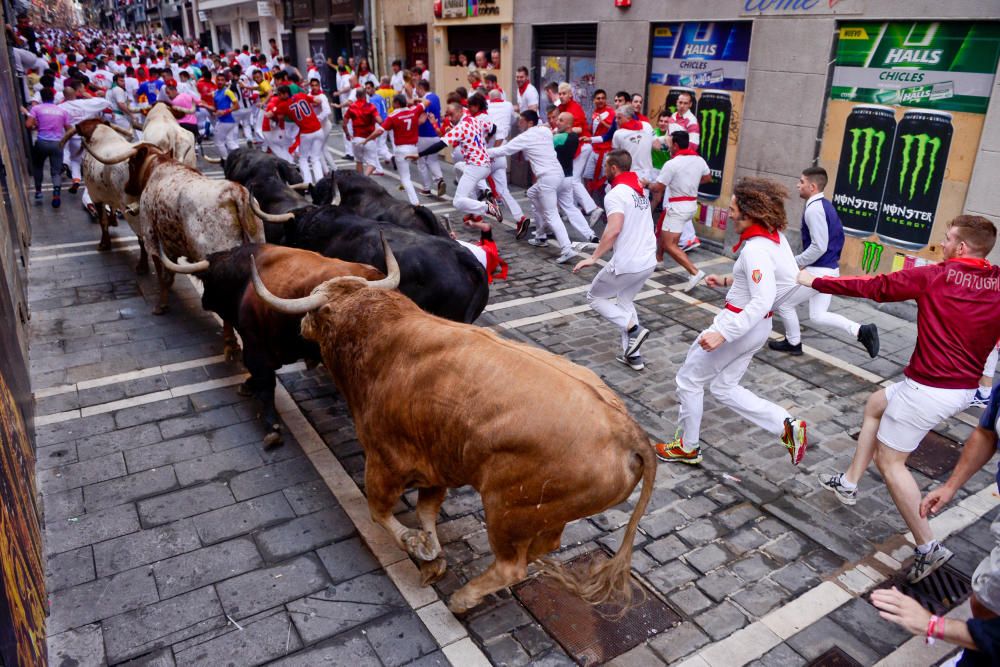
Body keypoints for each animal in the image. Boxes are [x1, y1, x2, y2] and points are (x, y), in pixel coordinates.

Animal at [250, 240, 656, 616]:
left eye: (315, 312)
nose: (301, 326)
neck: (379, 335)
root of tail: (627, 429)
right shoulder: (437, 464)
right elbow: (427, 512)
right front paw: (431, 554)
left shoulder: (384, 460)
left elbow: (380, 511)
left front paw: (416, 546)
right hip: (544, 514)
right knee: (544, 546)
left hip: (507, 512)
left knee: (511, 567)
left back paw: (464, 598)